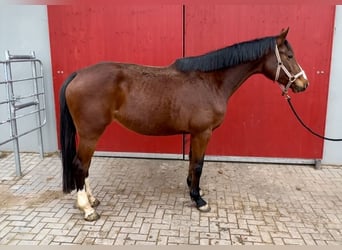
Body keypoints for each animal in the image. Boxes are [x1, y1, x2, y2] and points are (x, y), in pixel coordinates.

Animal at [60, 28, 308, 221]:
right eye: (289, 55)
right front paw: (199, 200)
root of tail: (78, 74)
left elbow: (191, 162)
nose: (304, 84)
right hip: (91, 133)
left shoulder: (195, 133)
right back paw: (87, 208)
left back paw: (92, 200)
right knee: (80, 165)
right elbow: (198, 165)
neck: (210, 82)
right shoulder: (203, 133)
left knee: (85, 167)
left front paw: (192, 188)